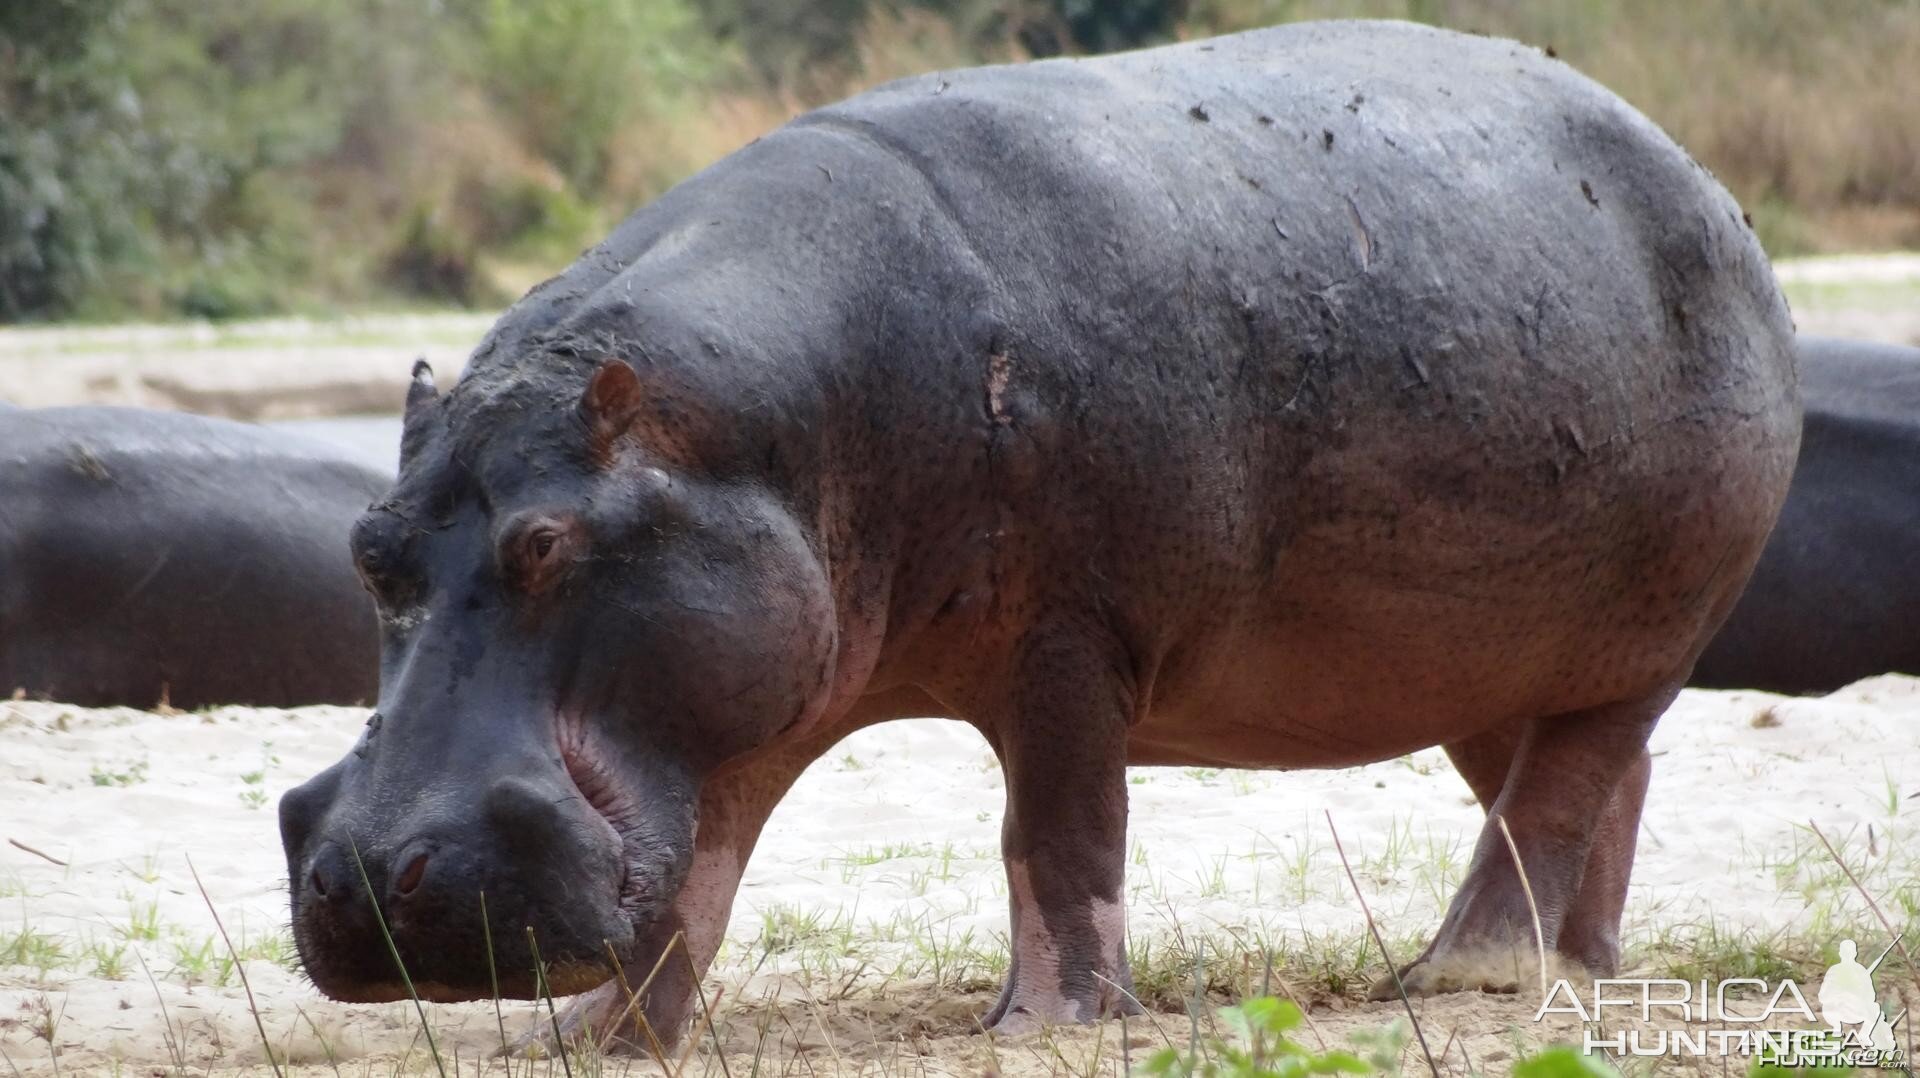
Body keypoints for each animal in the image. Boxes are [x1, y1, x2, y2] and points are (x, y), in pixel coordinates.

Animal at [274, 18, 1797, 1045]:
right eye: (365, 547)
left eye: (546, 545)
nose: (373, 877)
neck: (756, 430)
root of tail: (1717, 197)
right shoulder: (746, 676)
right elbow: (695, 873)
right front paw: (590, 1040)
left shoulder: (1072, 635)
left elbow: (1058, 831)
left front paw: (1050, 1022)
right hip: (1484, 660)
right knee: (1588, 785)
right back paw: (1581, 968)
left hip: (1652, 625)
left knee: (1560, 791)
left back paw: (1466, 973)